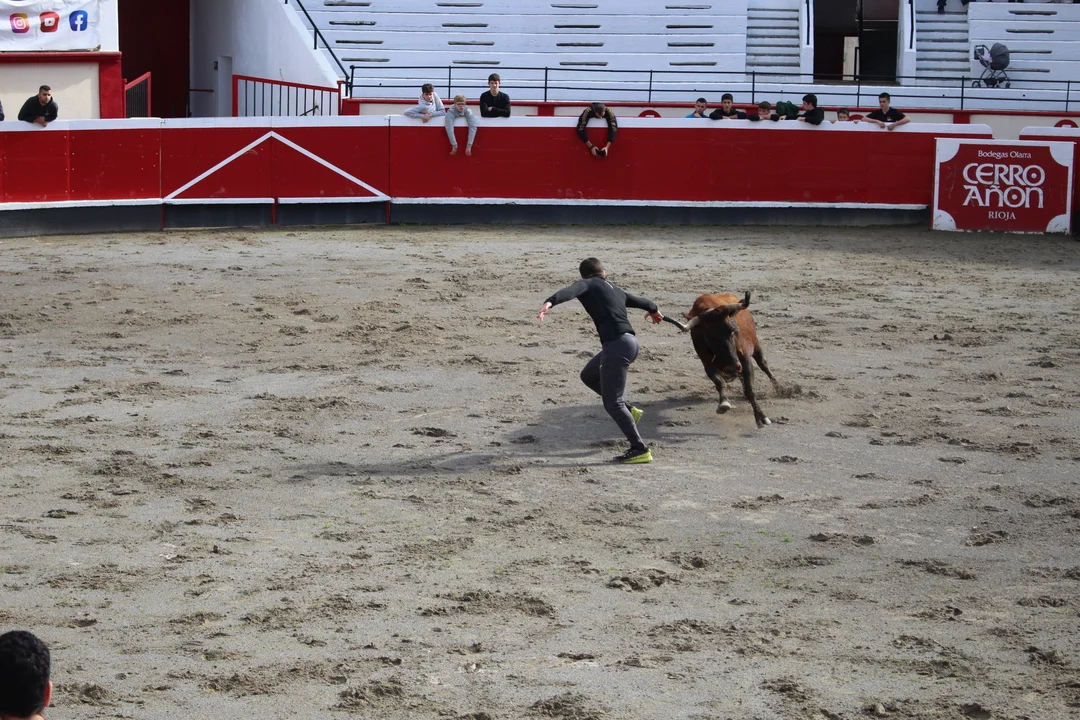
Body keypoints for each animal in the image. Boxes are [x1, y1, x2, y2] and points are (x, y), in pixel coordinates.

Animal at [680, 291, 778, 427]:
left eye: (732, 331)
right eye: (708, 336)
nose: (731, 368)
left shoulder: (745, 359)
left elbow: (750, 389)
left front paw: (761, 417)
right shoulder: (708, 365)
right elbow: (720, 382)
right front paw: (724, 403)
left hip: (756, 345)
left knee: (763, 365)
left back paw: (779, 388)